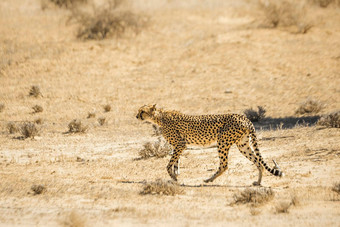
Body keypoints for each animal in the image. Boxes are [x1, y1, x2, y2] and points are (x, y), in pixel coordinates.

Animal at [136, 103, 284, 185]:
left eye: (142, 111)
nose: (137, 116)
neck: (159, 117)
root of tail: (244, 117)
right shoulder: (178, 146)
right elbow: (176, 163)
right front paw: (176, 176)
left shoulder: (180, 144)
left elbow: (168, 165)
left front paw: (172, 176)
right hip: (243, 145)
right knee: (258, 162)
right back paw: (258, 182)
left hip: (222, 142)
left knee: (224, 165)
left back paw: (209, 180)